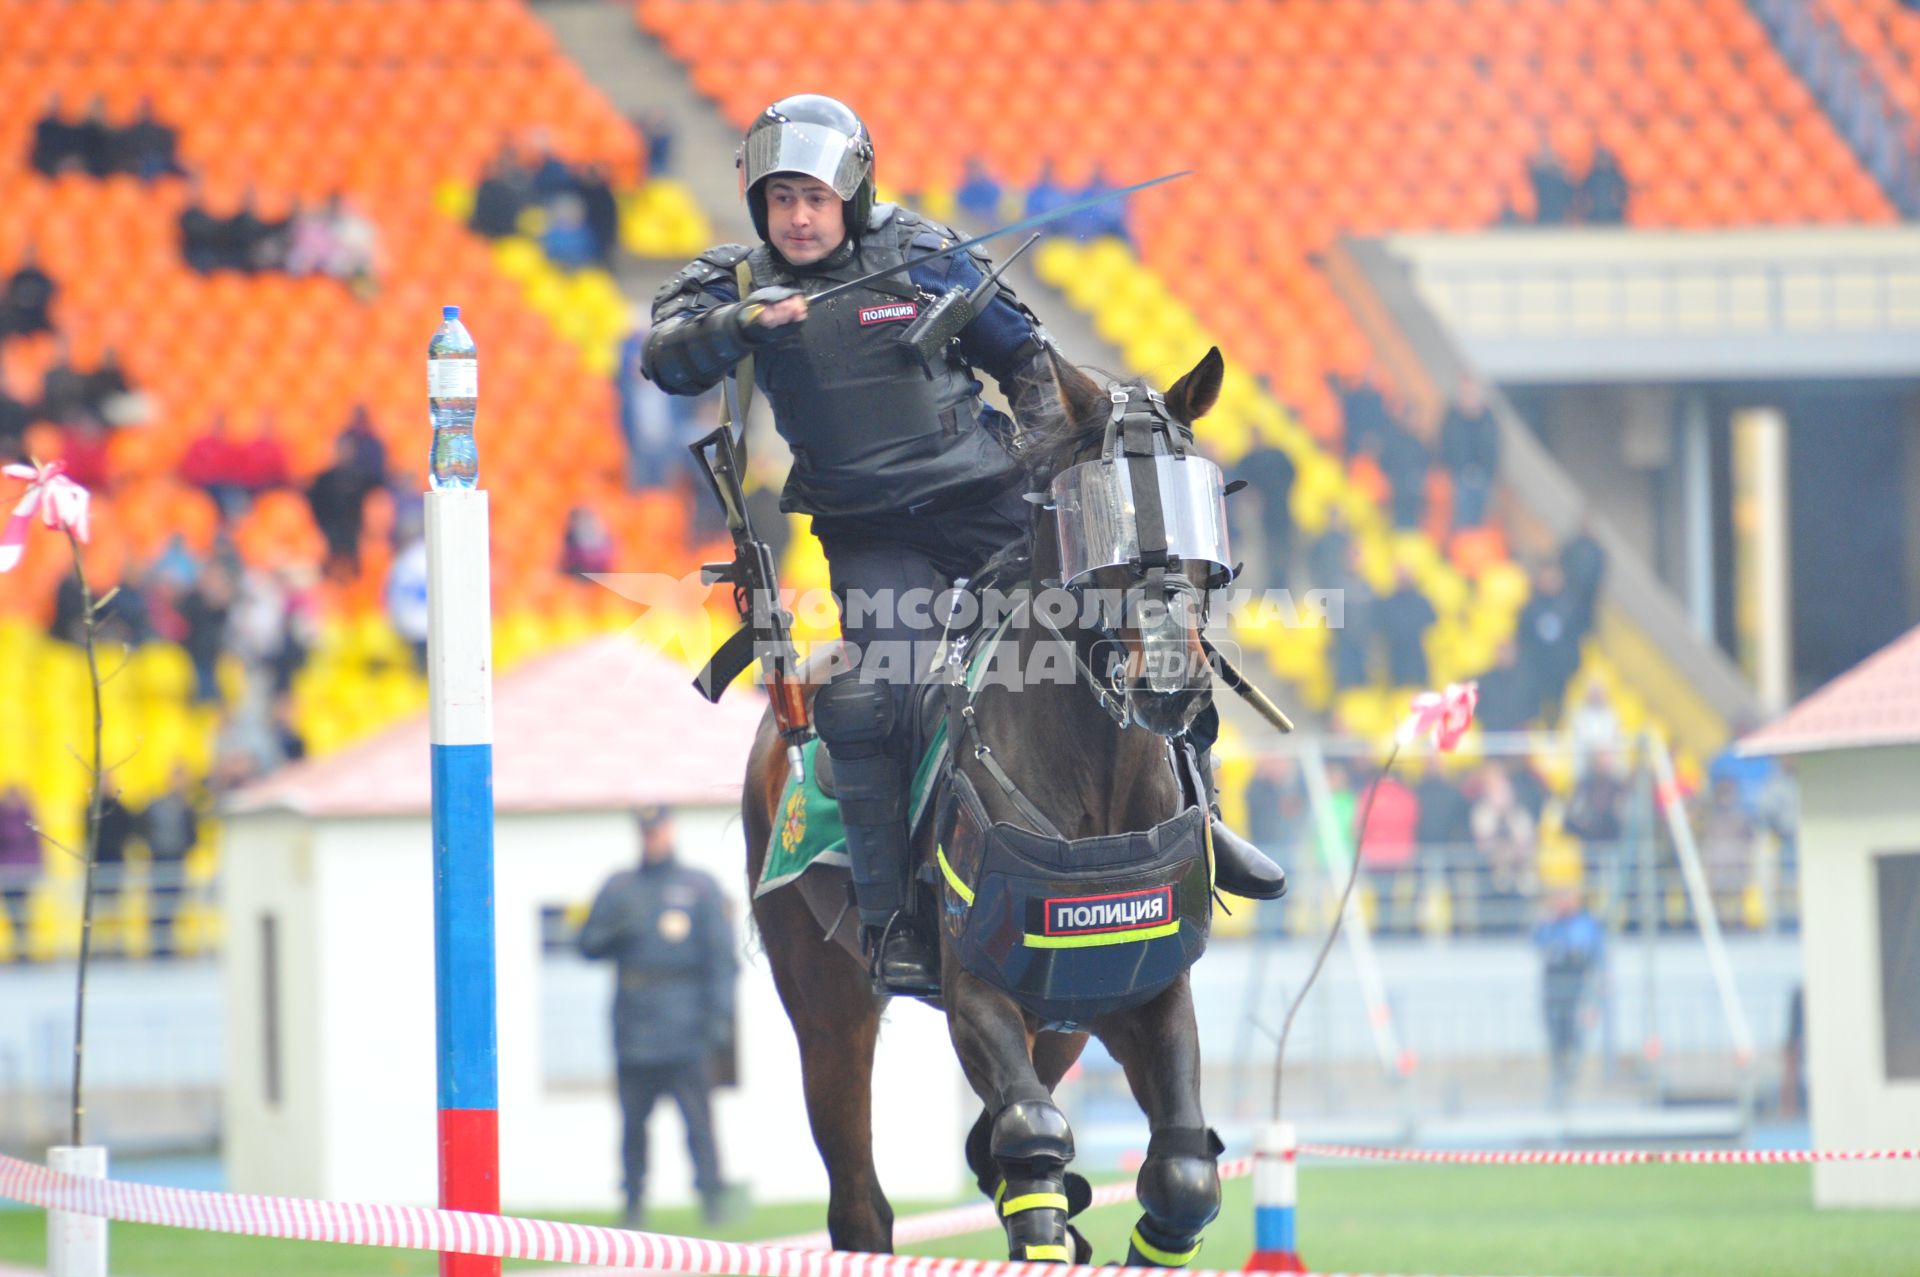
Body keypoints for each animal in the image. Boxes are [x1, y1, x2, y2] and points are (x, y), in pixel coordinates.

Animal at [741, 349, 1221, 1267]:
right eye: (1093, 510)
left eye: (1197, 504)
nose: (1172, 677)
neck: (1099, 788)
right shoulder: (977, 995)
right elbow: (1031, 1138)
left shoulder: (1144, 988)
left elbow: (1181, 1175)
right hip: (827, 1006)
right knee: (863, 1206)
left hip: (1064, 1021)